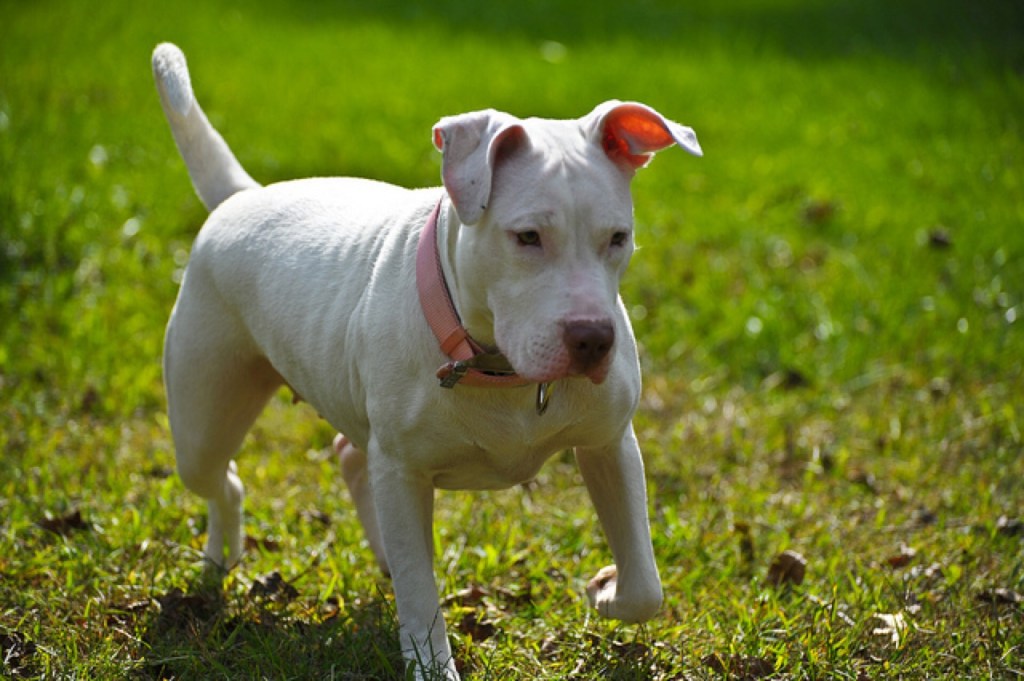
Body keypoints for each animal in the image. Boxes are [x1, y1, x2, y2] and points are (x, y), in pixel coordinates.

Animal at [151, 43, 700, 679]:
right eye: (527, 237)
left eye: (618, 238)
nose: (592, 339)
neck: (498, 367)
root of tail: (240, 197)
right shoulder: (405, 473)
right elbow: (420, 593)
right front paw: (433, 660)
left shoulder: (609, 443)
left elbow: (646, 588)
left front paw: (606, 591)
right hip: (203, 420)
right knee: (225, 480)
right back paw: (220, 561)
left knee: (349, 458)